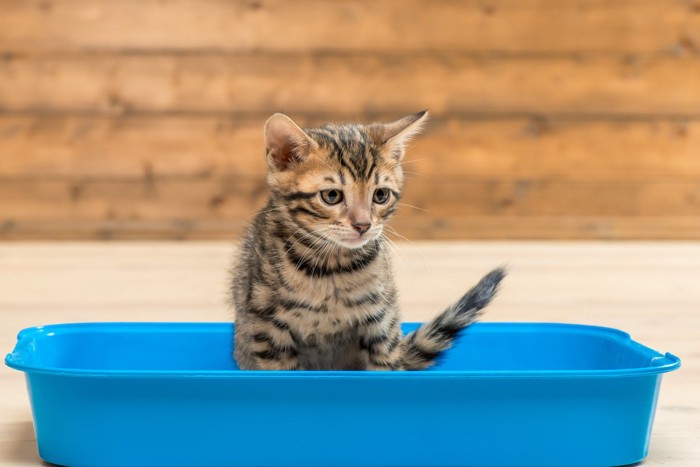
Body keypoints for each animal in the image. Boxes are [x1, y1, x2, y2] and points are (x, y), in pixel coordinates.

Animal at [232, 111, 506, 372]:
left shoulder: (382, 322)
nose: (363, 225)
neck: (332, 269)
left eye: (381, 195)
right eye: (331, 196)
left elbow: (384, 365)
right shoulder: (268, 330)